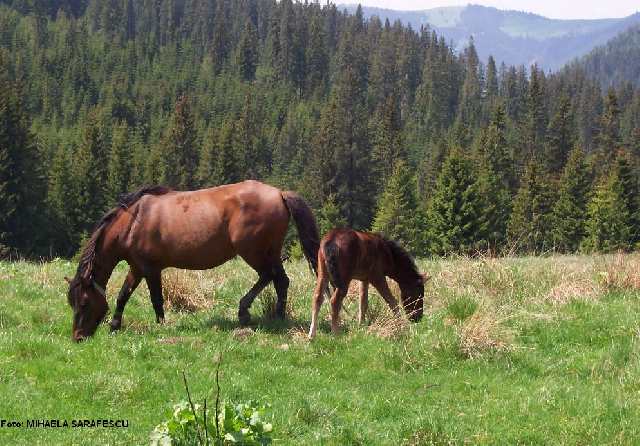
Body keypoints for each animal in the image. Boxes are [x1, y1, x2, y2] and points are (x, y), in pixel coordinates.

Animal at [65, 180, 320, 342]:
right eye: (72, 303)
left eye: (84, 303)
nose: (78, 337)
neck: (132, 222)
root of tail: (279, 193)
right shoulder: (137, 267)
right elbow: (122, 296)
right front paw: (115, 325)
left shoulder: (150, 268)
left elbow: (156, 299)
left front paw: (161, 325)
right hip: (270, 252)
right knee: (281, 280)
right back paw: (279, 315)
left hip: (252, 251)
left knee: (269, 276)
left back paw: (246, 311)